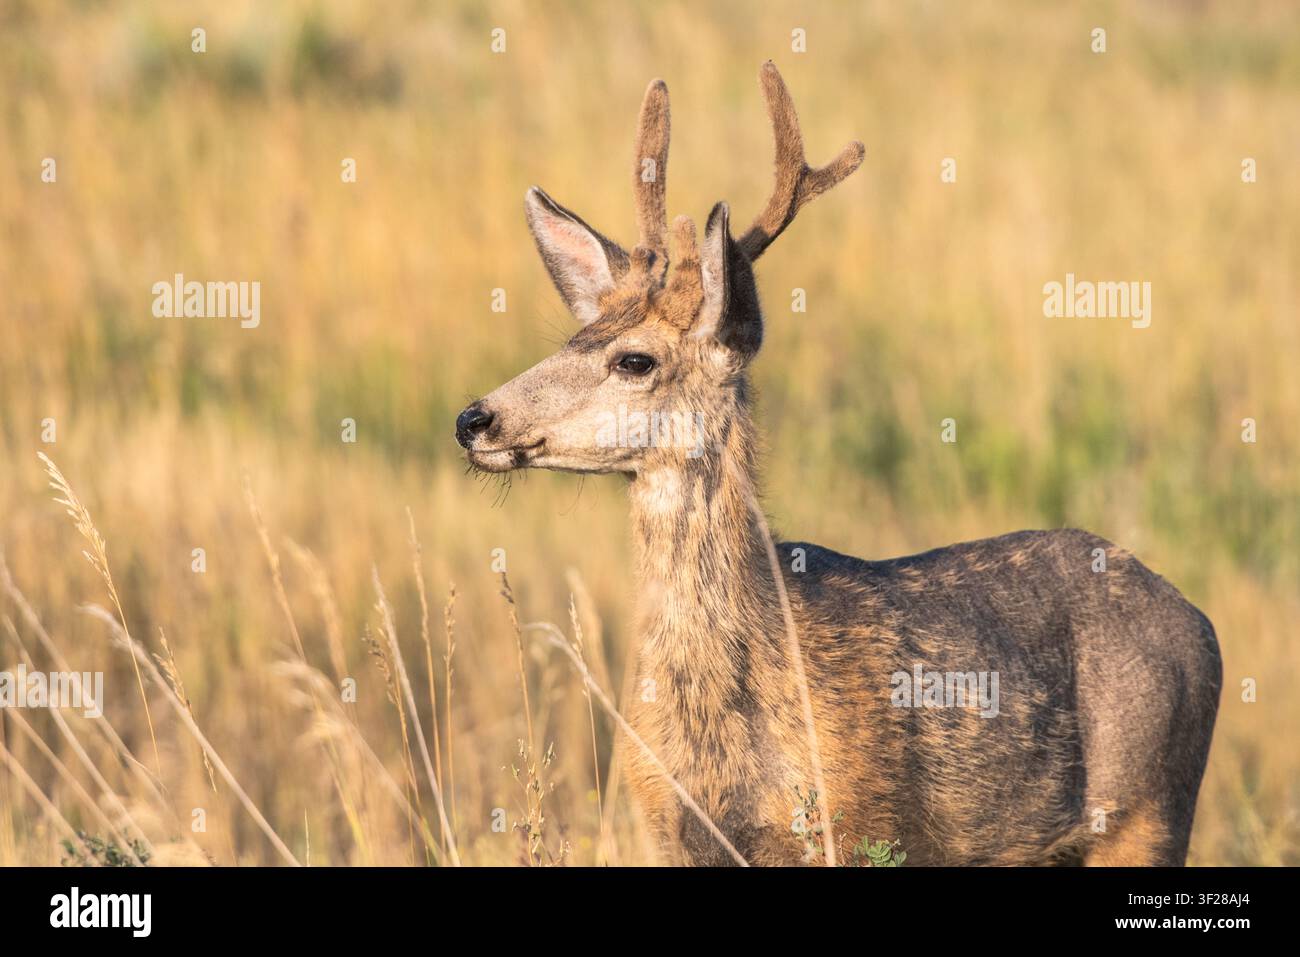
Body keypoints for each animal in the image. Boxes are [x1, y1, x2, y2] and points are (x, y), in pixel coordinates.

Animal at [455, 62, 1222, 866]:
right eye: (574, 337)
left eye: (635, 359)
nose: (474, 419)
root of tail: (1198, 621)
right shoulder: (663, 824)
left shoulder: (858, 817)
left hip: (1148, 807)